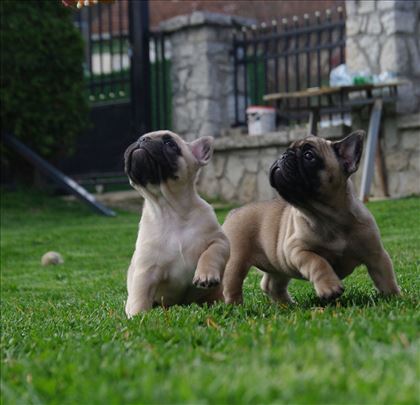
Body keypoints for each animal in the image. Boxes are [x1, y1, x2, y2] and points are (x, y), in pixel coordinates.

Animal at [124, 131, 230, 318]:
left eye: (171, 144)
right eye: (138, 138)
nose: (142, 139)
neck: (170, 210)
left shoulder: (219, 241)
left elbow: (210, 253)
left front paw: (206, 275)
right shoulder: (146, 270)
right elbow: (140, 294)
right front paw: (137, 316)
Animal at [223, 130, 400, 304]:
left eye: (309, 155)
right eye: (287, 150)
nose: (283, 155)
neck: (329, 217)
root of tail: (234, 212)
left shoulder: (376, 254)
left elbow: (386, 276)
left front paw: (394, 297)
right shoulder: (296, 250)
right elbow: (318, 262)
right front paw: (330, 288)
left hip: (278, 265)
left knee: (271, 284)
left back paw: (287, 305)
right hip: (236, 261)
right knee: (232, 284)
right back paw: (235, 305)